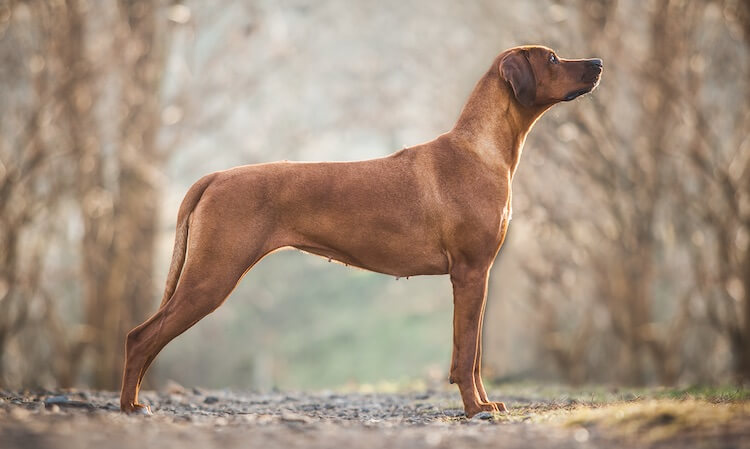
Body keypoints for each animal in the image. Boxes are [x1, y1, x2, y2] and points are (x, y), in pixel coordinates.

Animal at [123, 45, 604, 416]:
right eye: (552, 58)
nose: (598, 63)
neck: (480, 149)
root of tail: (215, 176)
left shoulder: (477, 276)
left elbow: (474, 355)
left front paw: (486, 404)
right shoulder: (470, 273)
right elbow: (467, 355)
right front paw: (473, 410)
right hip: (211, 276)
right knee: (139, 337)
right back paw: (129, 406)